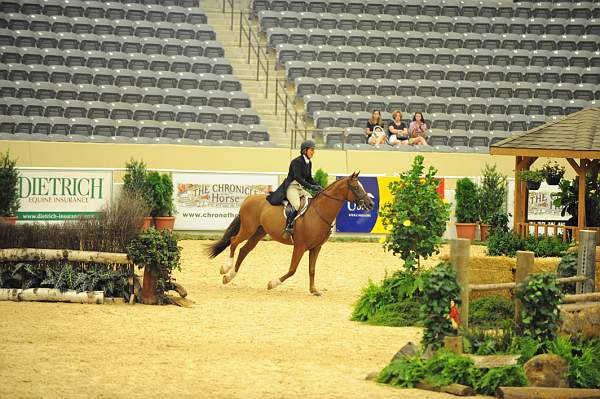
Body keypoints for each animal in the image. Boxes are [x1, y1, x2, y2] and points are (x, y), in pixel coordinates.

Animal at [209, 173, 372, 296]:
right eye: (356, 187)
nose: (370, 204)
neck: (319, 212)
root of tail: (249, 198)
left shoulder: (316, 248)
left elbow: (312, 270)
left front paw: (314, 290)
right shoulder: (300, 246)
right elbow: (292, 269)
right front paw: (272, 283)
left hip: (258, 232)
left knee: (244, 250)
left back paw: (229, 277)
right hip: (248, 229)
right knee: (234, 241)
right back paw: (225, 269)